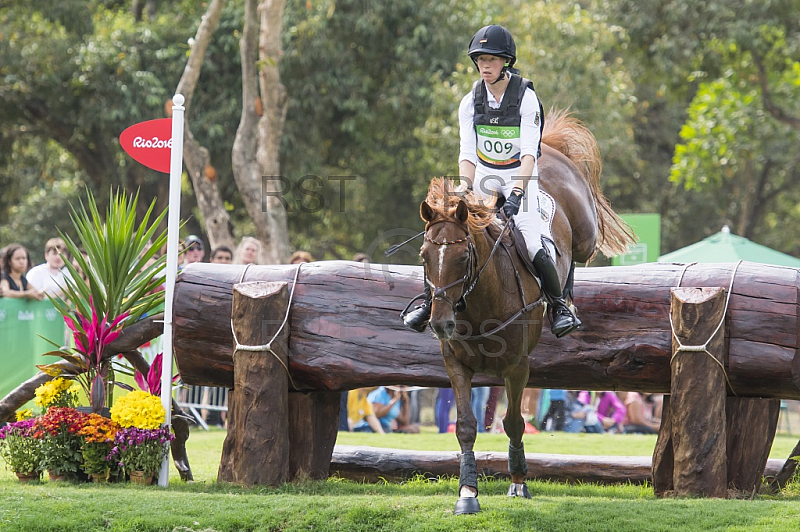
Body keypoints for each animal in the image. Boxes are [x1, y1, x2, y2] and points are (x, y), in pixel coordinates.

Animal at [416, 110, 636, 512]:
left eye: (463, 257)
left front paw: (518, 482)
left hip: (584, 229)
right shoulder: (456, 364)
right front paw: (467, 493)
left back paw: (564, 303)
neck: (477, 307)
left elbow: (514, 422)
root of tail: (549, 146)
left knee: (574, 251)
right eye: (425, 257)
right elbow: (466, 426)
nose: (440, 323)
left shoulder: (517, 367)